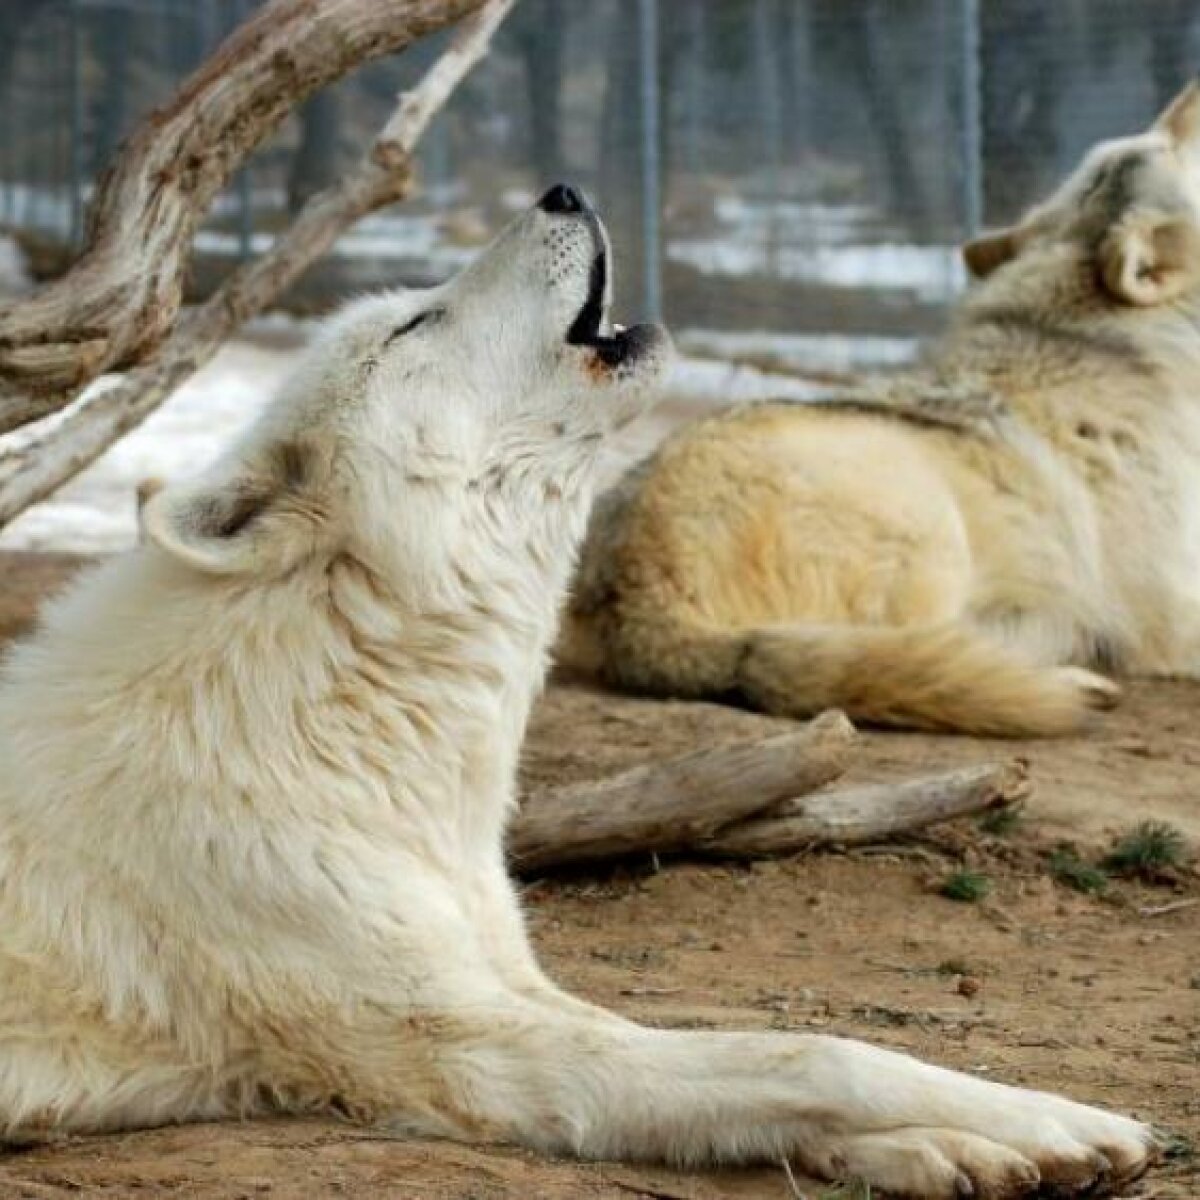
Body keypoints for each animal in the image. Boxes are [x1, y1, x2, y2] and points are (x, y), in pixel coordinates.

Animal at [2, 189, 1161, 1200]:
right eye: (416, 321)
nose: (560, 190)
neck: (355, 720)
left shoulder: (513, 986)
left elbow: (774, 1060)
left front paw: (958, 1149)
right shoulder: (466, 1049)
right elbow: (819, 1053)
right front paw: (1058, 1119)